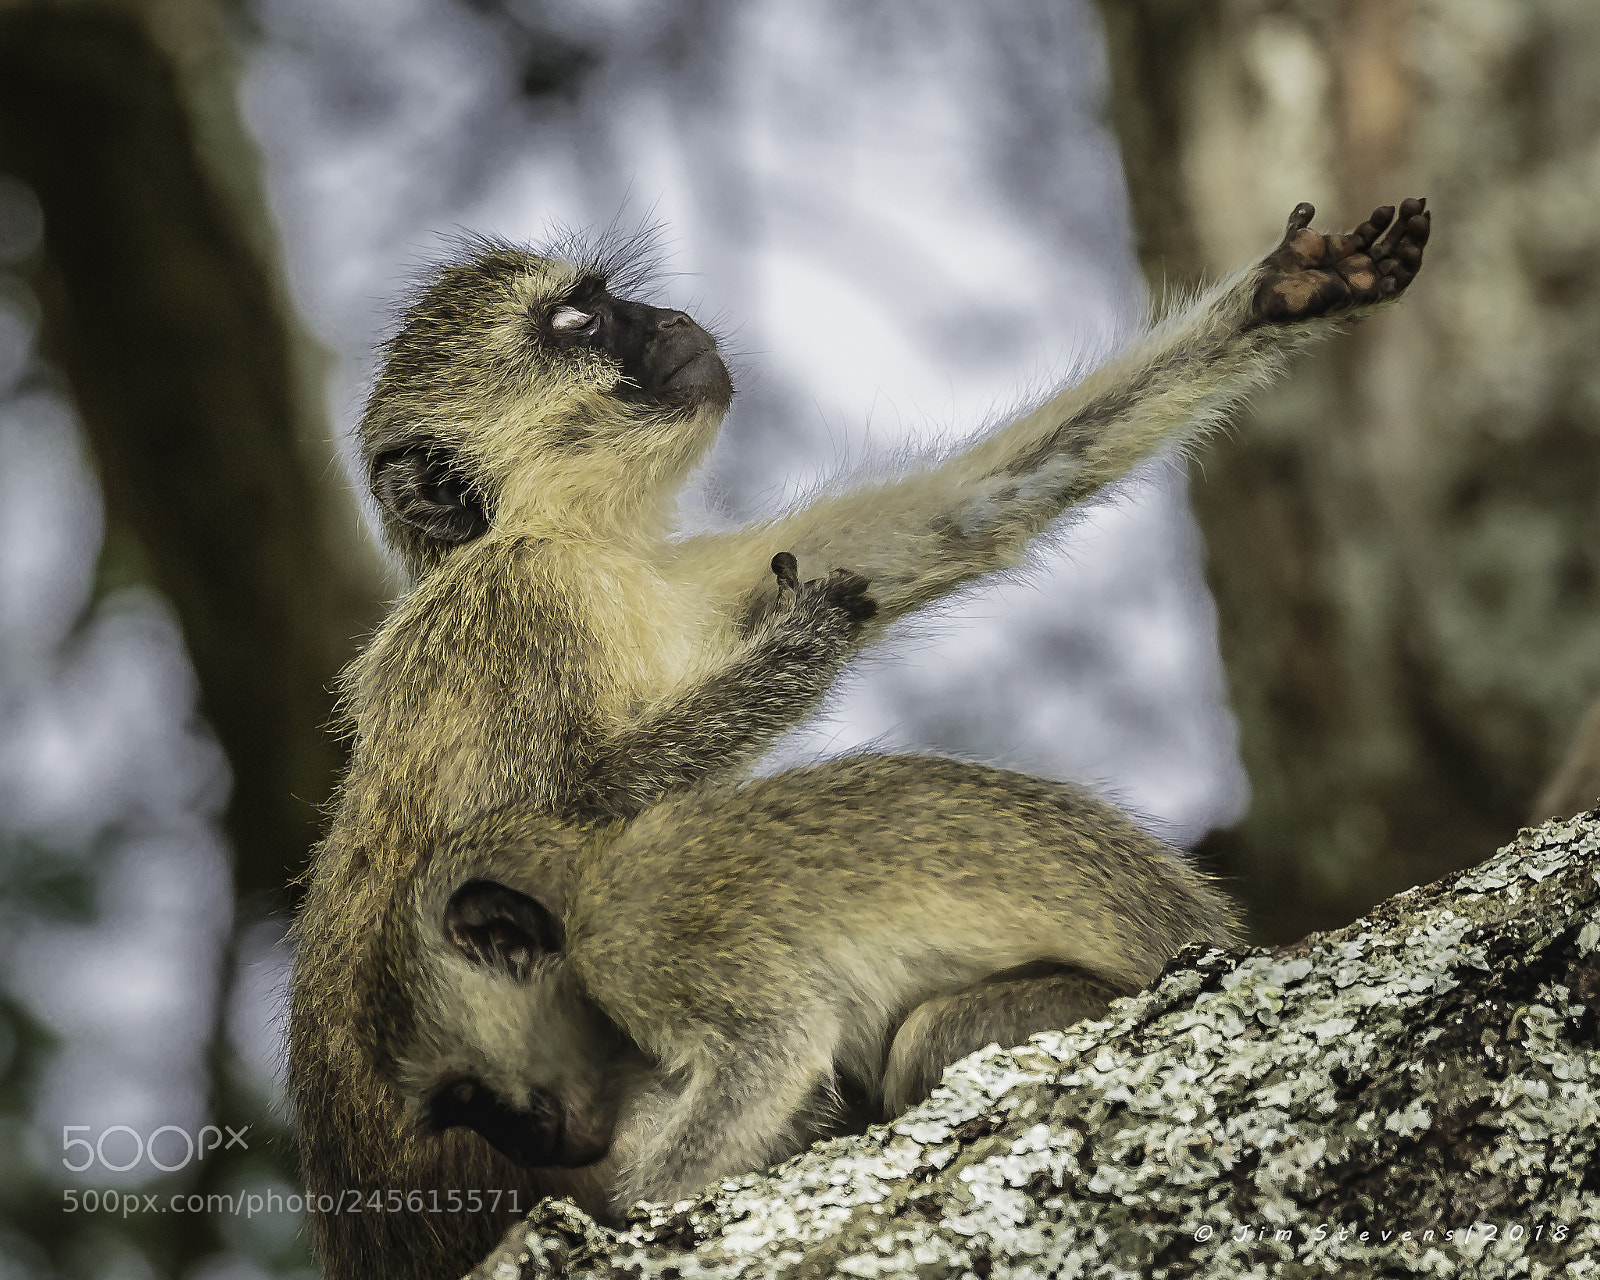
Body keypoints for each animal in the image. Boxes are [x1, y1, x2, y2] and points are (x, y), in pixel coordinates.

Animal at [356, 754, 1238, 1222]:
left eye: (469, 1098)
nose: (525, 1145)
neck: (582, 887)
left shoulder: (639, 945)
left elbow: (773, 1048)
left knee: (926, 1040)